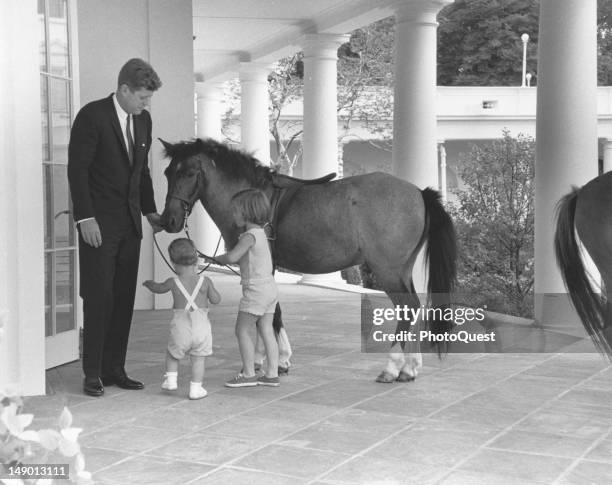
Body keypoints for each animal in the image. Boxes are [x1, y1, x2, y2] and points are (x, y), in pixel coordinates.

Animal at [160, 137, 456, 382]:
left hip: (388, 271)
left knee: (408, 308)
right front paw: (272, 359)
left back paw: (392, 368)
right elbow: (269, 310)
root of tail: (419, 193)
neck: (252, 197)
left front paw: (273, 361)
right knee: (416, 307)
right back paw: (410, 367)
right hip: (403, 270)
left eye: (188, 173)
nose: (169, 220)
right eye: (167, 173)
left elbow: (267, 313)